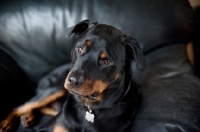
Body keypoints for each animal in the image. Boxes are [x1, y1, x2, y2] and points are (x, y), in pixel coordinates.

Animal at [0, 19, 147, 132]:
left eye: (106, 61)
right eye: (80, 48)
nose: (73, 80)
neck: (90, 109)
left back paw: (28, 117)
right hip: (53, 88)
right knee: (22, 105)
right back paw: (8, 123)